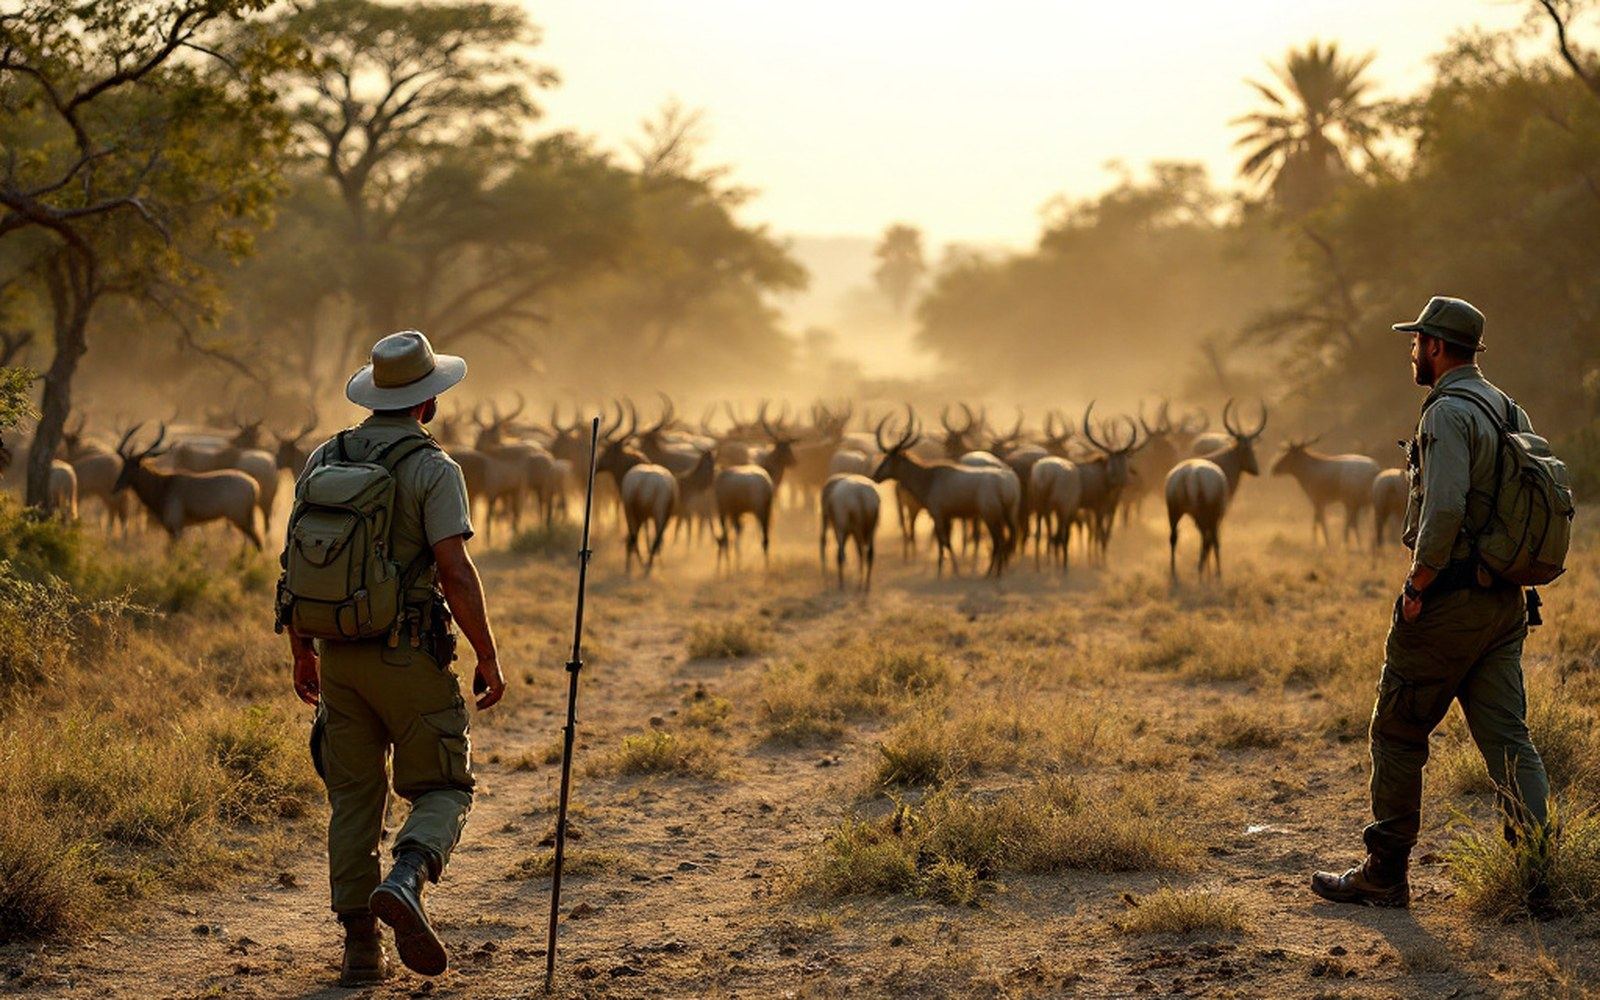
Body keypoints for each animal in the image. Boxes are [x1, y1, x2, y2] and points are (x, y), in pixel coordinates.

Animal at [113, 424, 262, 549]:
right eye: (124, 464)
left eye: (135, 466)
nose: (117, 486)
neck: (165, 485)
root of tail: (253, 485)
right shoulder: (171, 530)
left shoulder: (177, 528)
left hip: (240, 519)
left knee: (257, 542)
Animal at [870, 410, 1020, 578]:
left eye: (887, 458)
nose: (875, 476)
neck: (929, 478)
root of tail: (1007, 483)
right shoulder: (947, 516)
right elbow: (945, 541)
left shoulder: (938, 514)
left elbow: (944, 541)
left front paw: (945, 571)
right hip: (1008, 514)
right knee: (1008, 537)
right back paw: (997, 571)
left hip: (990, 515)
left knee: (998, 540)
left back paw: (990, 573)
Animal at [1164, 400, 1267, 580]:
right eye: (1249, 449)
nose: (1256, 470)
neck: (1221, 461)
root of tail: (1188, 475)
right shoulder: (1220, 513)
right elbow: (1215, 539)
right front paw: (1216, 574)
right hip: (1203, 513)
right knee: (1208, 538)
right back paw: (1204, 572)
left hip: (1175, 510)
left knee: (1175, 537)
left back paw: (1175, 574)